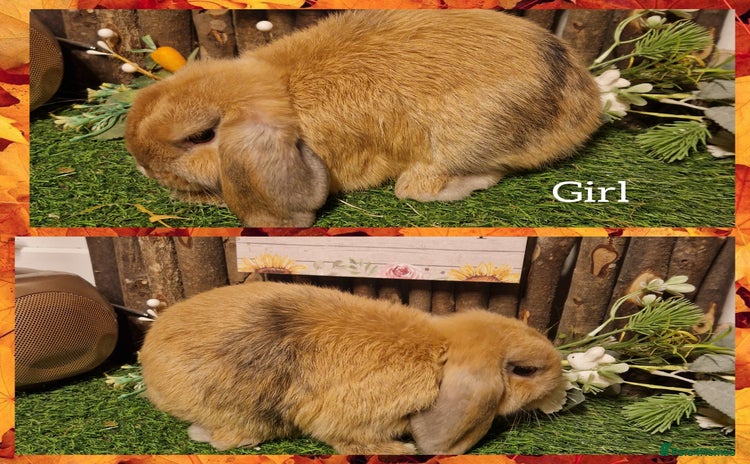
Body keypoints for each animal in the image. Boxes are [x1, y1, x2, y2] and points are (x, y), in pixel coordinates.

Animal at [124, 9, 602, 227]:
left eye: (201, 136)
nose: (142, 167)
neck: (284, 90)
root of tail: (586, 103)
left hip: (462, 141)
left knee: (422, 186)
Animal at [139, 281, 563, 455]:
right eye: (525, 370)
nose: (561, 381)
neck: (438, 353)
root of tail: (149, 356)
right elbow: (347, 438)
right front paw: (401, 449)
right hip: (244, 407)